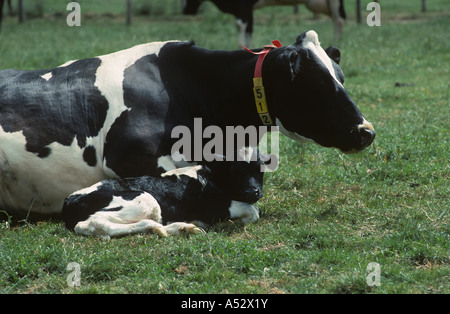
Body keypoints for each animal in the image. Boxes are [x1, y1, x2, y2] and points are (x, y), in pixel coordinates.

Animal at [62, 147, 268, 238]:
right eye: (235, 170)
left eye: (260, 169)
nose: (253, 191)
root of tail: (69, 201)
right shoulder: (212, 206)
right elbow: (253, 211)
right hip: (145, 199)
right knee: (94, 223)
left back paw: (183, 227)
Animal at [181, 0, 346, 46]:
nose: (185, 10)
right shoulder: (248, 10)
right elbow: (249, 29)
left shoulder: (243, 7)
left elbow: (241, 25)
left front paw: (241, 45)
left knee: (339, 20)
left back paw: (337, 42)